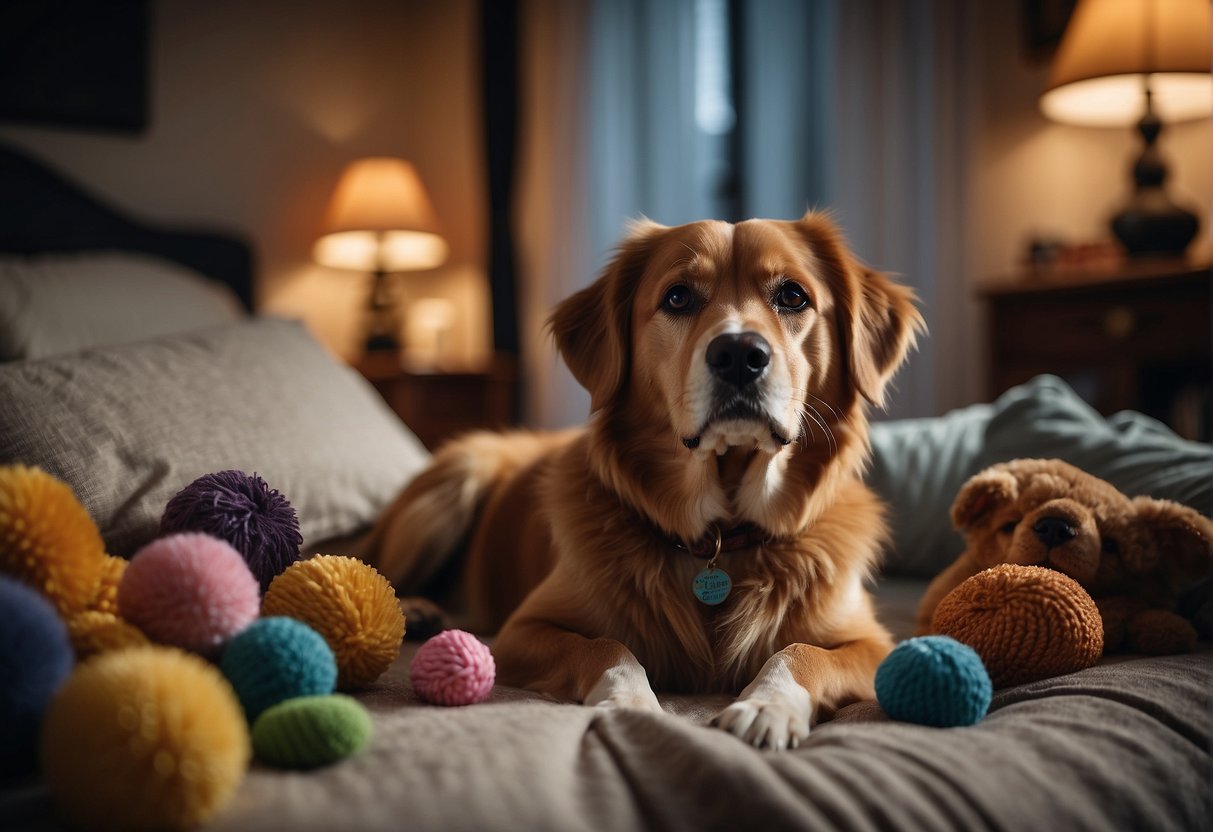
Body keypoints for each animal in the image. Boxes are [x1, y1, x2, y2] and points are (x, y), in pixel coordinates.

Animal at [356, 212, 917, 751]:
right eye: (678, 297)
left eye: (793, 296)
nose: (739, 354)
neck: (722, 534)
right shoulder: (520, 631)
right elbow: (608, 646)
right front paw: (628, 699)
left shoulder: (876, 646)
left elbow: (801, 652)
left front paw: (767, 705)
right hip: (452, 484)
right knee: (377, 566)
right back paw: (416, 608)